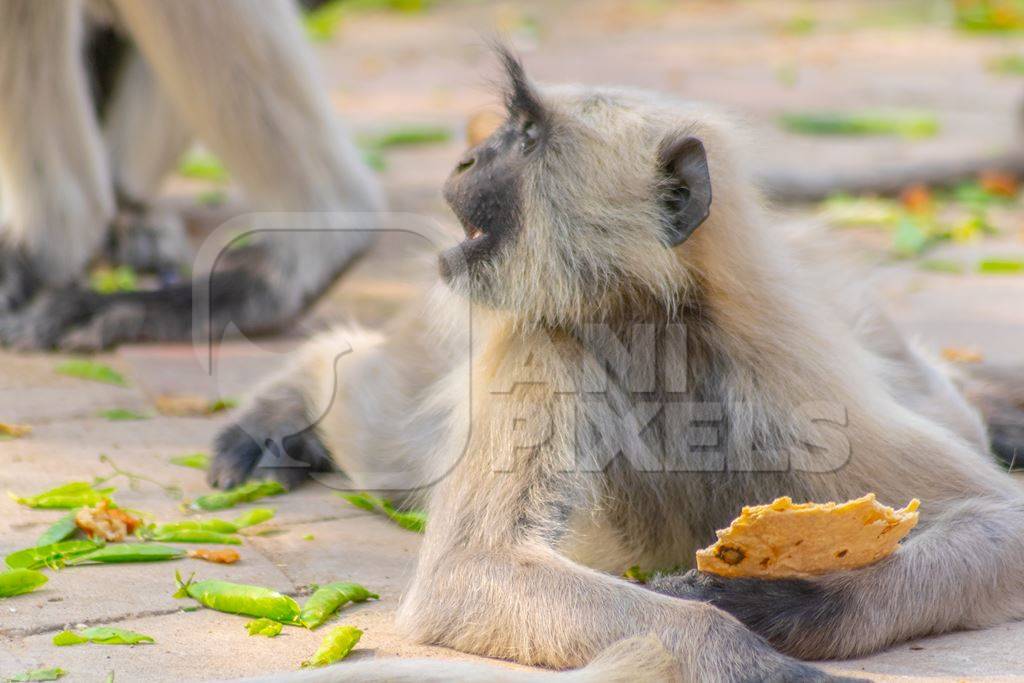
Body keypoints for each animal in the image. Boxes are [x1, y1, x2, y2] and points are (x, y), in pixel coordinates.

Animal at [209, 50, 1024, 679]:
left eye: (526, 136)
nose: (466, 157)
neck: (643, 324)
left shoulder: (789, 373)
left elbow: (1000, 518)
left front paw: (788, 602)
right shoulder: (536, 344)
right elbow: (468, 573)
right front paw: (738, 650)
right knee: (382, 427)